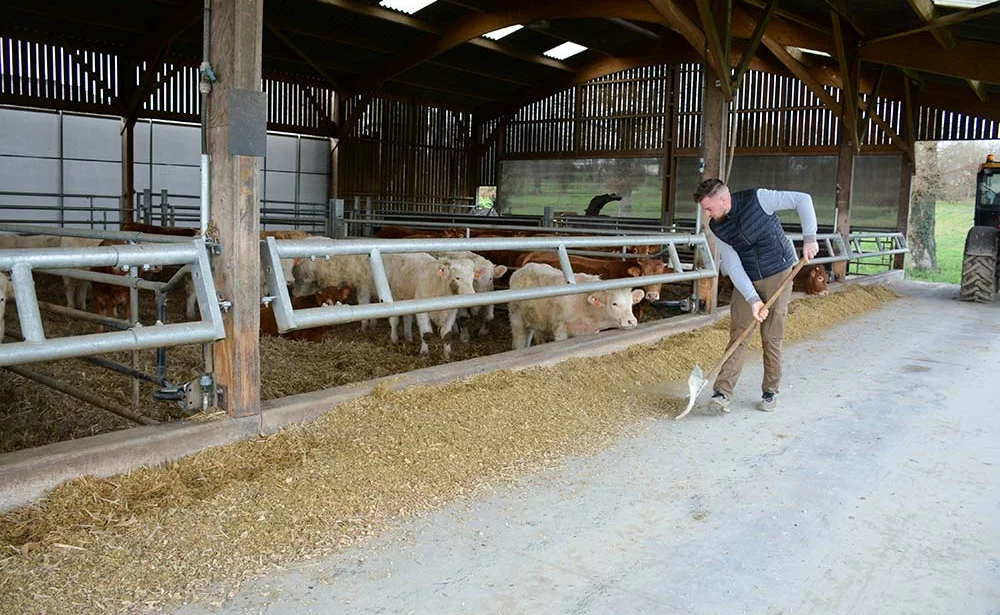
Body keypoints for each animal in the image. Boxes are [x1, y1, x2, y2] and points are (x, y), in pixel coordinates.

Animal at [508, 262, 640, 352]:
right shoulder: (560, 327)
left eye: (631, 304)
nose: (631, 321)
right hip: (516, 319)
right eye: (614, 303)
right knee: (519, 341)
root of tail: (524, 268)